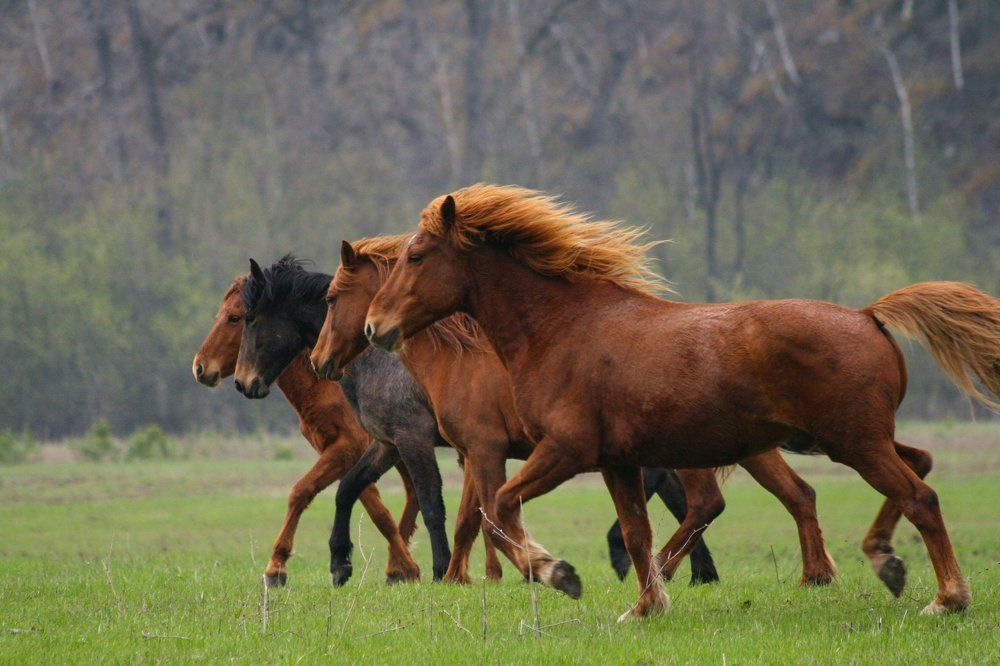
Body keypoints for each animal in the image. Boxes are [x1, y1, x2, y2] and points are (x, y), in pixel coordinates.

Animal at [192, 277, 421, 586]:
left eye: (235, 317)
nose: (200, 367)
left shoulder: (349, 447)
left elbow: (302, 491)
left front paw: (276, 567)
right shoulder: (340, 451)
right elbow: (371, 504)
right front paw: (401, 566)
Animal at [309, 235, 834, 587]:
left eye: (332, 299)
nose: (319, 361)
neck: (457, 354)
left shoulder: (474, 445)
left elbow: (473, 515)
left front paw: (466, 575)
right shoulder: (467, 451)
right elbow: (470, 518)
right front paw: (465, 576)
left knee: (706, 503)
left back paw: (659, 569)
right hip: (747, 448)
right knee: (795, 494)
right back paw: (808, 574)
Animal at [365, 183, 999, 620]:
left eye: (417, 256)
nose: (375, 326)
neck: (562, 329)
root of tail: (869, 316)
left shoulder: (566, 450)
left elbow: (497, 509)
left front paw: (557, 572)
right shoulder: (616, 461)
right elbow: (636, 533)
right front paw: (645, 608)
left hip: (854, 443)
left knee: (921, 497)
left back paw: (945, 597)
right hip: (846, 441)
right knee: (916, 472)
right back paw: (885, 560)